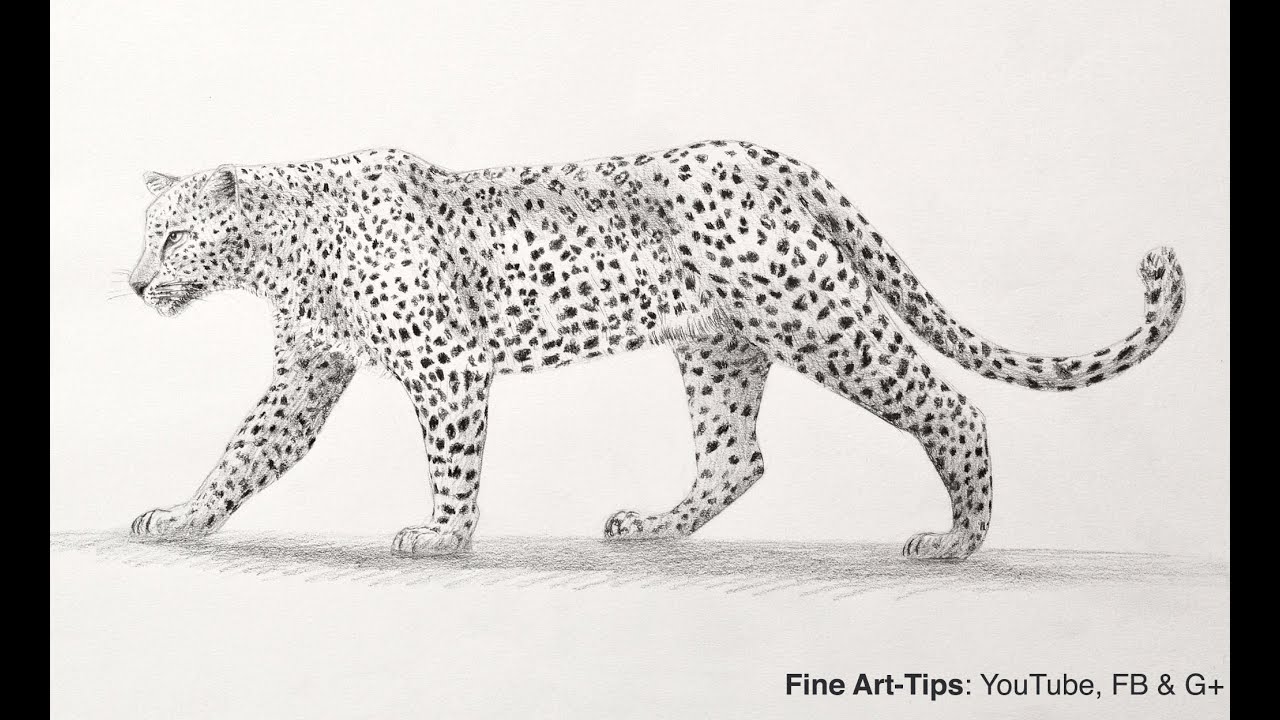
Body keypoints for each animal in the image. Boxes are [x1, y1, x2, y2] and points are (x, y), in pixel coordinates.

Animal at [126, 140, 1184, 560]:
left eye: (171, 238)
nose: (135, 285)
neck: (283, 253)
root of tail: (769, 156)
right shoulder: (305, 375)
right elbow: (243, 452)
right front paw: (182, 516)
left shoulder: (447, 368)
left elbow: (452, 463)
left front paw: (442, 536)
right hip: (721, 347)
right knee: (736, 455)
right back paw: (657, 527)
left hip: (816, 315)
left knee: (950, 405)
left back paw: (957, 540)